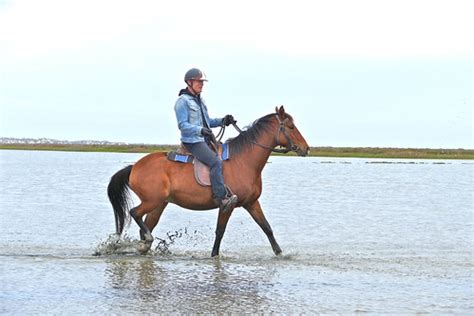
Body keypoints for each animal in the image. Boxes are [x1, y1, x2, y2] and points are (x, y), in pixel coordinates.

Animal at [105, 106, 310, 256]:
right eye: (291, 127)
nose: (306, 148)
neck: (243, 161)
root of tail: (134, 167)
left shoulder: (252, 202)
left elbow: (266, 227)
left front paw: (280, 253)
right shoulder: (227, 205)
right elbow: (220, 231)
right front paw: (214, 256)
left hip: (159, 204)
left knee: (145, 224)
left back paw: (144, 246)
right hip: (152, 201)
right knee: (135, 213)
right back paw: (146, 241)